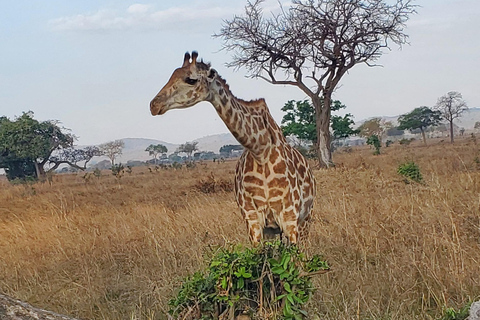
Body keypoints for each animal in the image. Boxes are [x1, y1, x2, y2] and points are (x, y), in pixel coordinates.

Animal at [150, 51, 316, 244]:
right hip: (273, 229)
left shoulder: (289, 216)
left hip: (305, 219)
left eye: (190, 79)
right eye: (172, 75)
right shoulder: (252, 219)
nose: (154, 105)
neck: (260, 150)